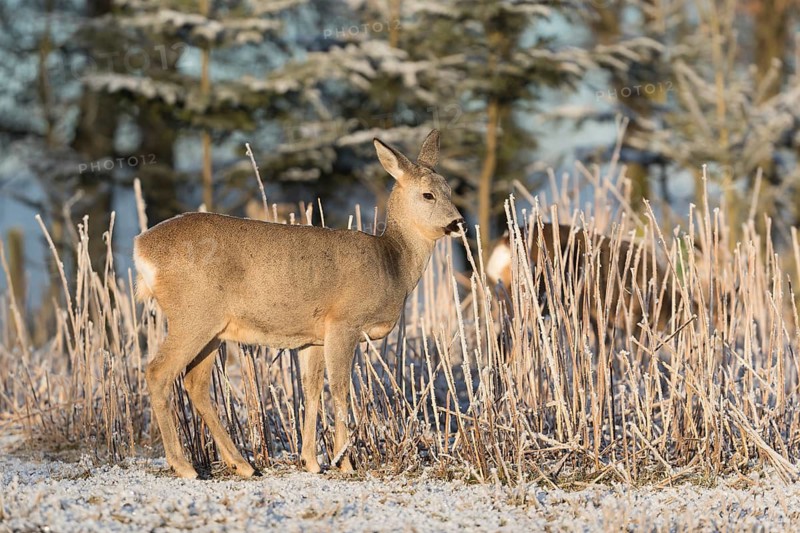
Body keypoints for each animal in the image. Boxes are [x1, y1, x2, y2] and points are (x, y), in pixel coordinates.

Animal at [133, 130, 464, 479]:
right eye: (428, 195)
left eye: (449, 189)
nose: (459, 223)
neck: (392, 264)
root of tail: (141, 248)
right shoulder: (343, 321)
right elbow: (340, 388)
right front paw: (344, 461)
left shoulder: (313, 337)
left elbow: (312, 389)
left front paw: (311, 461)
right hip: (193, 314)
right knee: (158, 372)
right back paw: (185, 466)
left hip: (212, 328)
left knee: (194, 383)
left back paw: (242, 464)